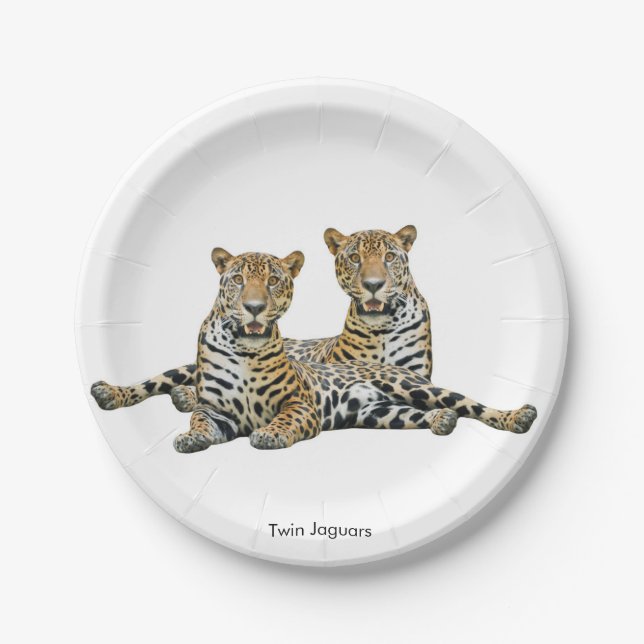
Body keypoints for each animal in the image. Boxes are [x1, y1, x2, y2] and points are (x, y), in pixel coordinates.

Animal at [90, 225, 434, 414]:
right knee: (159, 382)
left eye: (389, 257)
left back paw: (183, 397)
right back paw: (114, 393)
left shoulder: (417, 376)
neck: (381, 327)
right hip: (184, 369)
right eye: (354, 258)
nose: (374, 284)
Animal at [91, 248, 537, 452]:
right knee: (161, 381)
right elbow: (200, 420)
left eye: (273, 280)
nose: (254, 308)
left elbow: (285, 420)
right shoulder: (216, 411)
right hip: (382, 413)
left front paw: (269, 435)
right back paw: (113, 392)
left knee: (468, 404)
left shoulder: (300, 405)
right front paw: (189, 437)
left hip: (411, 386)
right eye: (238, 280)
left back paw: (518, 416)